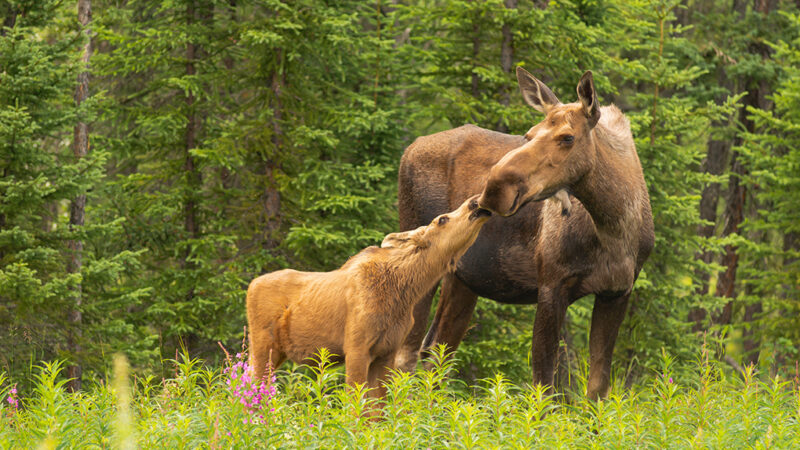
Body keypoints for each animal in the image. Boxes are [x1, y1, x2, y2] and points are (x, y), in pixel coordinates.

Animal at [247, 196, 490, 398]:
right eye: (442, 219)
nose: (474, 202)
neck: (404, 292)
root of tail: (250, 286)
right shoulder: (356, 347)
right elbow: (355, 404)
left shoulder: (386, 352)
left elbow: (376, 411)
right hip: (263, 344)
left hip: (277, 352)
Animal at [396, 68, 652, 400]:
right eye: (528, 135)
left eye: (567, 137)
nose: (493, 189)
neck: (615, 229)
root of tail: (409, 149)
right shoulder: (552, 285)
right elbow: (544, 385)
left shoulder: (617, 291)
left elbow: (596, 388)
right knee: (406, 353)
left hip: (462, 279)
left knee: (436, 353)